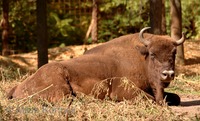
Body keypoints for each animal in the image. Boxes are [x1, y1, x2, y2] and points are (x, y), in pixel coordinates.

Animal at [7, 27, 185, 105]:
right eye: (153, 54)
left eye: (174, 53)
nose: (168, 74)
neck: (141, 58)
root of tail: (17, 87)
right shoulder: (123, 90)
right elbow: (150, 98)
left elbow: (175, 97)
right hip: (59, 83)